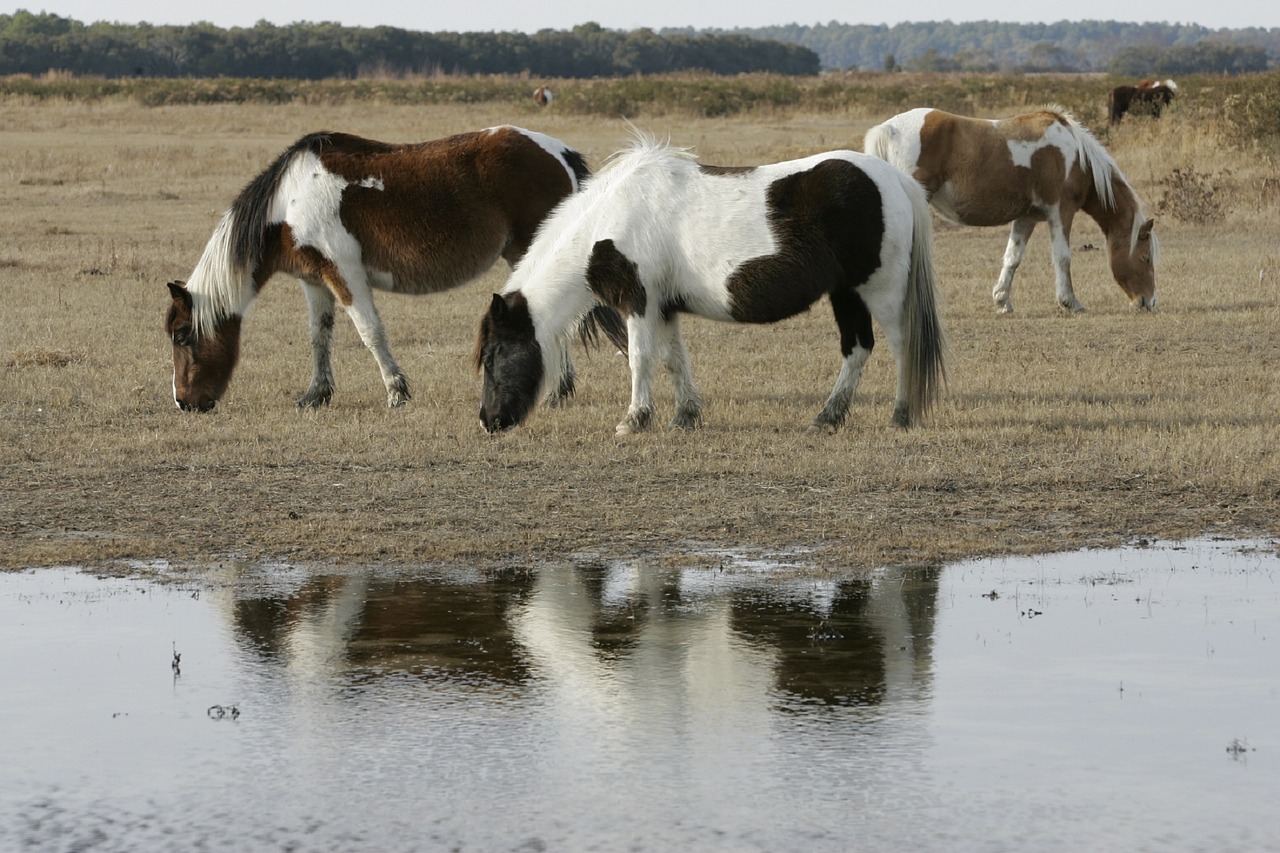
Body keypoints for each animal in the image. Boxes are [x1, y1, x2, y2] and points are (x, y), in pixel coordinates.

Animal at [161, 125, 593, 412]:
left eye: (182, 336)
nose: (183, 402)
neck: (288, 202)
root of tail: (560, 152)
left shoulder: (345, 274)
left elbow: (369, 332)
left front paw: (396, 391)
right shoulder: (315, 281)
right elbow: (319, 336)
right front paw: (316, 395)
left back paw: (557, 392)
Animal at [476, 137, 947, 438]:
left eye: (494, 355)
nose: (487, 421)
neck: (610, 218)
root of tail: (895, 180)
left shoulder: (639, 303)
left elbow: (640, 359)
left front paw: (634, 420)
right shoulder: (663, 307)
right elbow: (673, 360)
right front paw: (685, 417)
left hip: (880, 290)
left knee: (901, 346)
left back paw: (901, 415)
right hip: (846, 293)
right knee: (857, 348)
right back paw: (827, 418)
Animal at [865, 106, 1157, 312]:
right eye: (1146, 258)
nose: (1148, 301)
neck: (1076, 157)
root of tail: (889, 128)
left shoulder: (1027, 218)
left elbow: (1012, 258)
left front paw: (1002, 301)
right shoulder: (1061, 212)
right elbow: (1063, 257)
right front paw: (1070, 302)